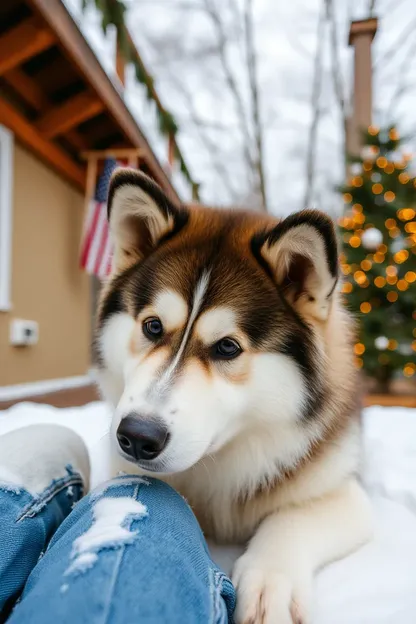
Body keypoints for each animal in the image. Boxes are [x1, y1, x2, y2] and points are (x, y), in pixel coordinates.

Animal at [95, 169, 374, 624]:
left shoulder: (345, 494)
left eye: (227, 347)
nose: (136, 436)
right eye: (152, 326)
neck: (222, 462)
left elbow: (294, 517)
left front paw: (270, 582)